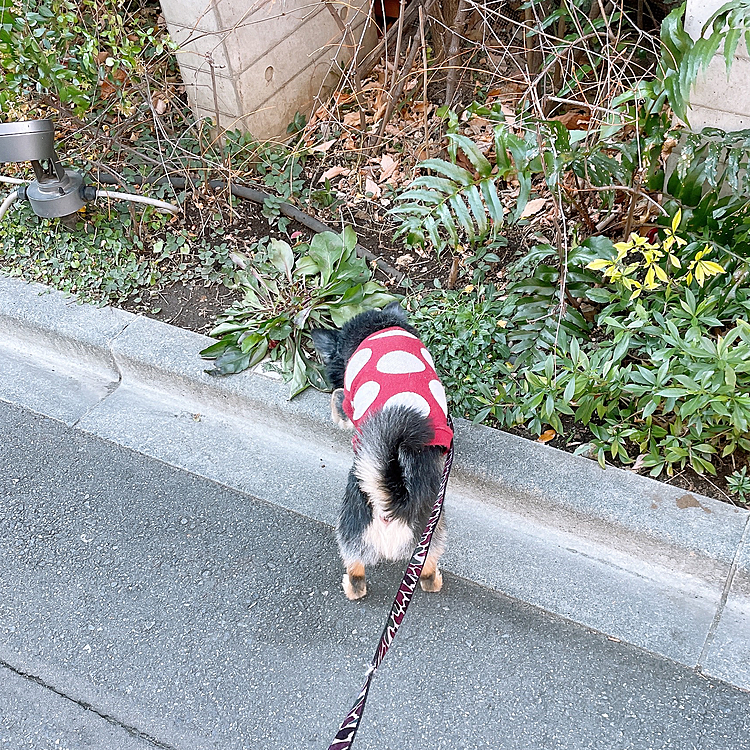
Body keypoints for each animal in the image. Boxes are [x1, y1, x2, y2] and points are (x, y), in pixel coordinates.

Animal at [312, 302, 452, 604]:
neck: (378, 328)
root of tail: (395, 504)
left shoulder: (348, 401)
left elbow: (339, 401)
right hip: (429, 539)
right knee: (425, 572)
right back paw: (432, 581)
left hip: (350, 531)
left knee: (356, 574)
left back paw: (351, 587)